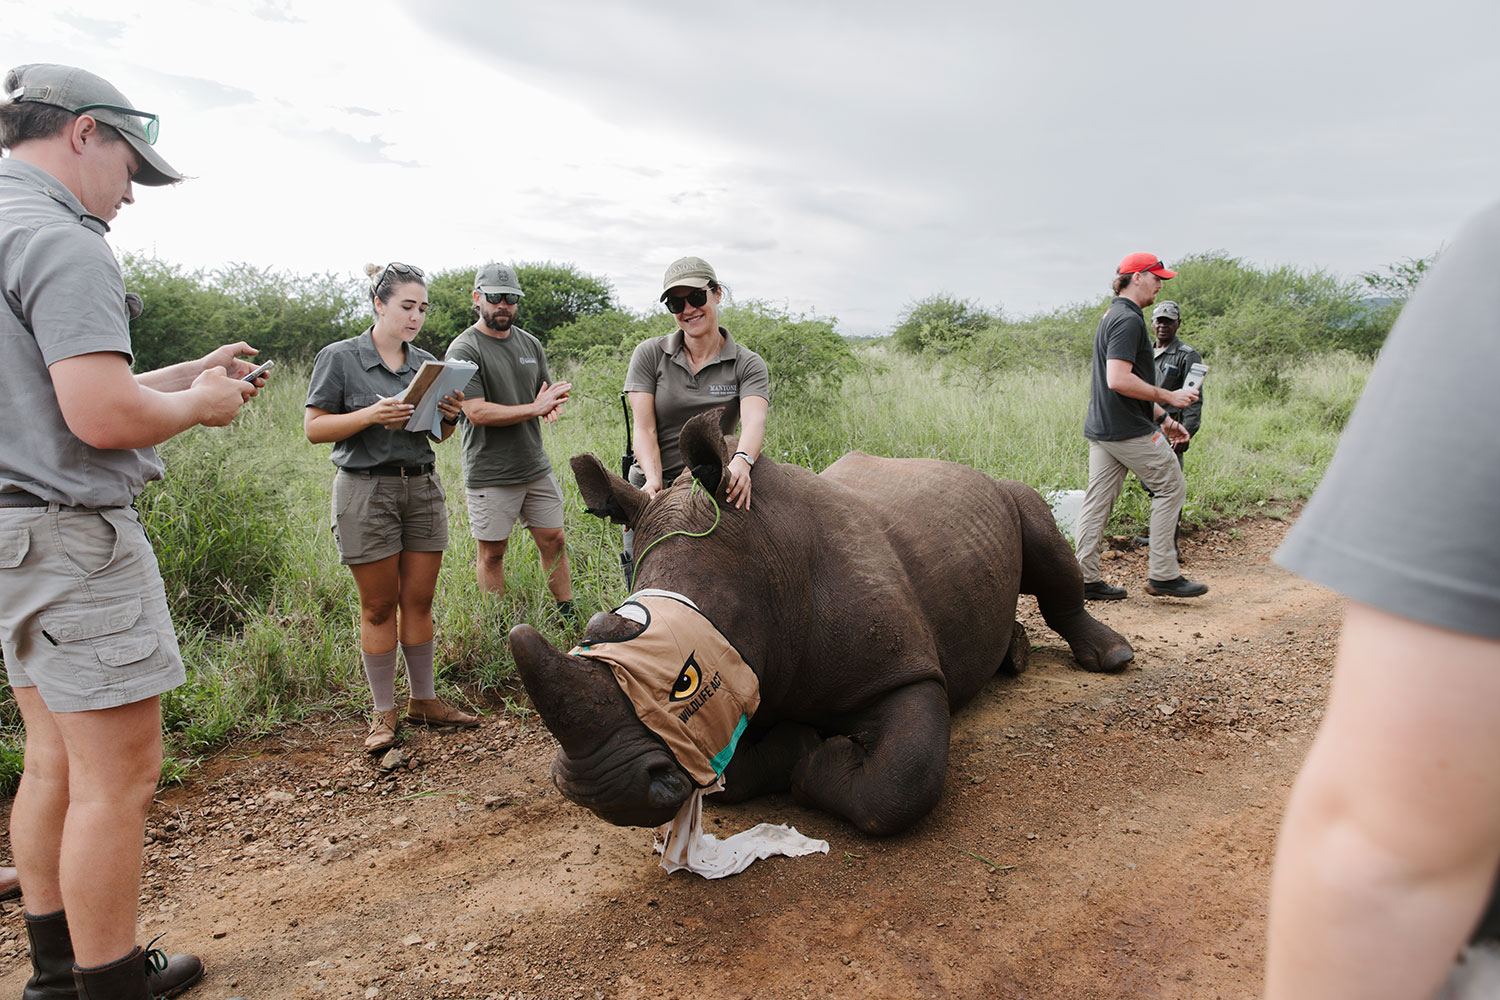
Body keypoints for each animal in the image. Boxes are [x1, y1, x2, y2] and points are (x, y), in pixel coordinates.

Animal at [509, 405, 1135, 836]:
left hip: (1005, 491)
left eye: (684, 678)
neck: (765, 570)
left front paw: (815, 753)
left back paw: (1112, 657)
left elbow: (901, 782)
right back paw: (1016, 655)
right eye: (594, 633)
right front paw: (794, 742)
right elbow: (728, 778)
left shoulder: (903, 672)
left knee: (1039, 528)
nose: (602, 791)